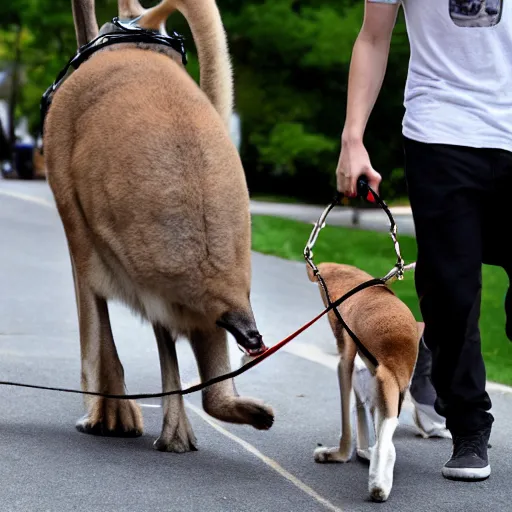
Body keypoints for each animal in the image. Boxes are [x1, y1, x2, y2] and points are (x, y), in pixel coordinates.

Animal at [308, 262, 420, 502]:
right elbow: (362, 414)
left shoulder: (345, 363)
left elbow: (349, 425)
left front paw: (339, 455)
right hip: (389, 389)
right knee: (385, 436)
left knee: (382, 440)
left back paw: (377, 484)